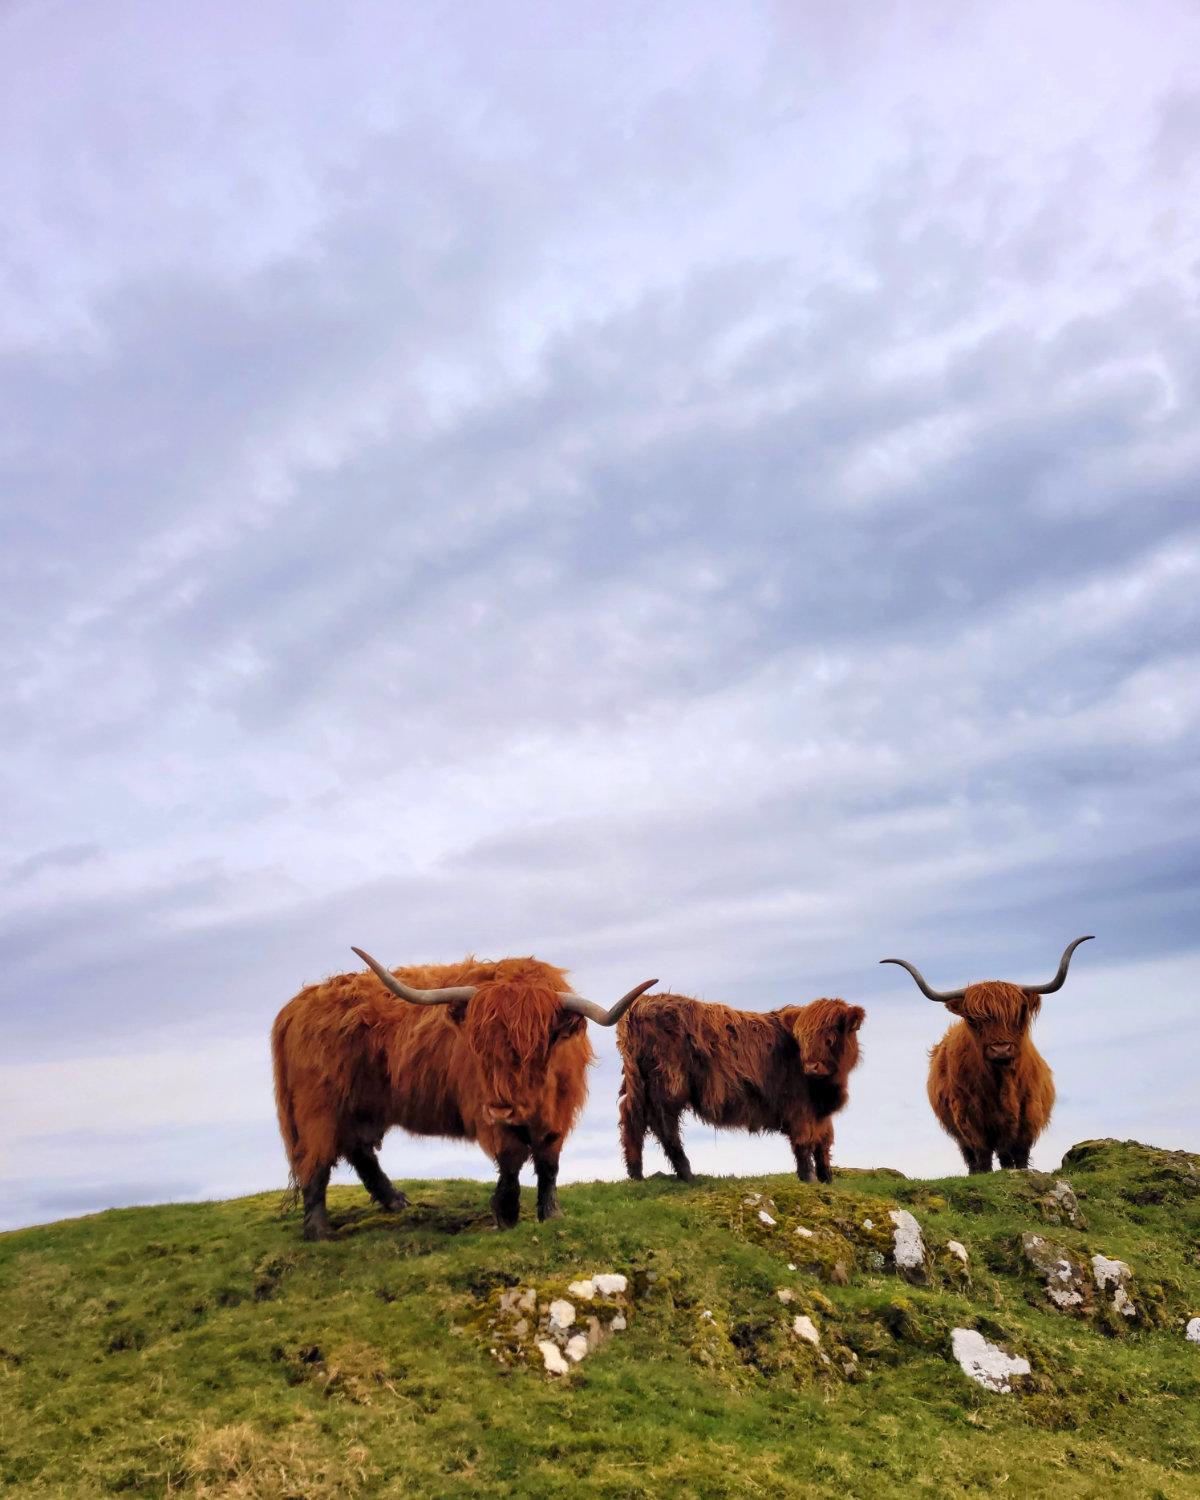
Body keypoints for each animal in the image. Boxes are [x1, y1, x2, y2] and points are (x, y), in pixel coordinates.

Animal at [273, 948, 657, 1242]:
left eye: (535, 1047)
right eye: (479, 1045)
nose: (503, 1108)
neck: (536, 1099)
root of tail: (296, 1006)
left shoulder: (558, 1116)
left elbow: (548, 1163)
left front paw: (551, 1214)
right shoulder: (488, 1115)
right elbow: (512, 1159)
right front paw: (506, 1213)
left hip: (360, 1108)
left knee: (358, 1151)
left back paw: (396, 1201)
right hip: (317, 1109)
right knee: (316, 1162)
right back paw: (319, 1231)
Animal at [618, 990, 864, 1188]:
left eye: (832, 1035)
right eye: (802, 1038)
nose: (812, 1067)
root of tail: (640, 1004)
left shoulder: (819, 1112)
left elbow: (824, 1140)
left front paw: (827, 1178)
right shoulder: (800, 1108)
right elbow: (804, 1142)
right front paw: (810, 1179)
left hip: (638, 1085)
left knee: (632, 1120)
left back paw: (636, 1174)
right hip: (668, 1084)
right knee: (664, 1126)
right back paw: (687, 1174)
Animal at [882, 936, 1098, 1170]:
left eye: (1019, 1014)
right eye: (973, 1019)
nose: (1000, 1049)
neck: (1001, 1083)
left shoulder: (1029, 1113)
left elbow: (1019, 1152)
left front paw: (1020, 1171)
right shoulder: (968, 1117)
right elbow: (982, 1154)